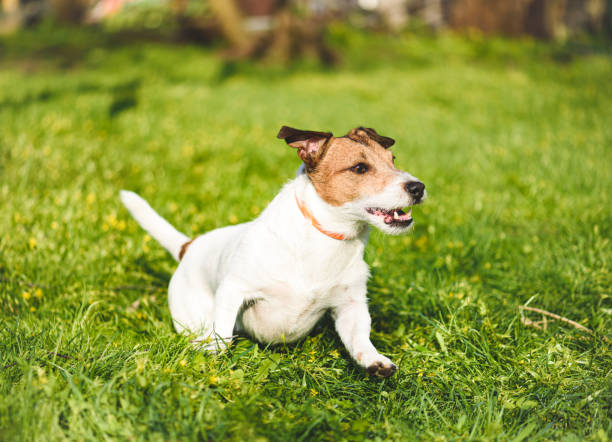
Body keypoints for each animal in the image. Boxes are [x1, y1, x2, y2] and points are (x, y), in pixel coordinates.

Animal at [119, 126, 426, 378]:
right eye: (360, 168)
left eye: (393, 160)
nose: (418, 186)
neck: (326, 239)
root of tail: (189, 246)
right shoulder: (234, 289)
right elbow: (223, 335)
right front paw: (214, 352)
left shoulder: (351, 305)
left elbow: (360, 337)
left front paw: (375, 361)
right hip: (192, 315)